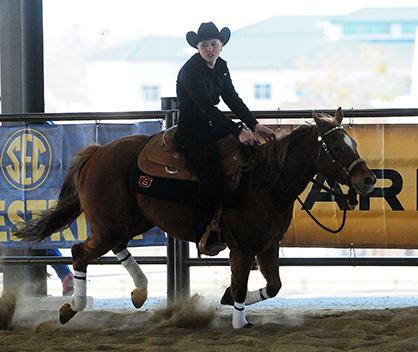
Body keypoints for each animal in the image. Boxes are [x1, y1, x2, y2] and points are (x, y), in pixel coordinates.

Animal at [14, 107, 378, 328]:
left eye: (354, 143)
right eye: (338, 147)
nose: (369, 180)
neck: (264, 179)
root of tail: (95, 153)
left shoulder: (268, 245)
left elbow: (273, 286)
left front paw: (228, 298)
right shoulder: (242, 247)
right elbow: (242, 284)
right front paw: (239, 321)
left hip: (129, 221)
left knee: (113, 246)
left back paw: (140, 291)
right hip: (110, 223)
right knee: (80, 252)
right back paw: (71, 308)